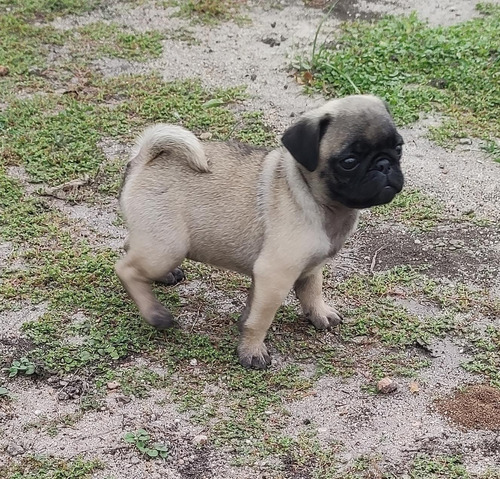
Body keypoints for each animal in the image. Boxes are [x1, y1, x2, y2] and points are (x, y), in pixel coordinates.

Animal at [115, 95, 404, 370]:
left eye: (399, 148)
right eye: (349, 162)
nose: (384, 165)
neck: (313, 196)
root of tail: (144, 159)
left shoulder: (305, 269)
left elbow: (311, 292)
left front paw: (320, 314)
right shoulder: (274, 276)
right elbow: (260, 319)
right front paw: (252, 351)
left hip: (154, 239)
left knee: (130, 246)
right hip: (168, 247)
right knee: (126, 269)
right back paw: (155, 314)